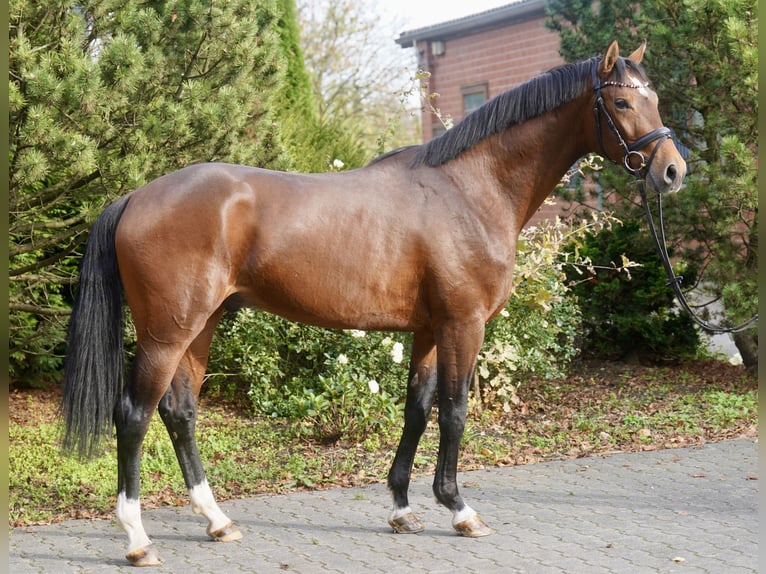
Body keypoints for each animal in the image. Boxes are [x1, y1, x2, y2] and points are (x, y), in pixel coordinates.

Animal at [60, 40, 684, 568]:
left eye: (654, 98)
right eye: (622, 101)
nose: (672, 170)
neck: (469, 189)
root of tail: (136, 196)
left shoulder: (429, 329)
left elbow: (418, 408)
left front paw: (403, 508)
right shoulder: (464, 324)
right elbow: (455, 410)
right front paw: (460, 509)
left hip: (202, 324)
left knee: (180, 411)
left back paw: (217, 521)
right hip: (169, 330)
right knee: (134, 415)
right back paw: (138, 540)